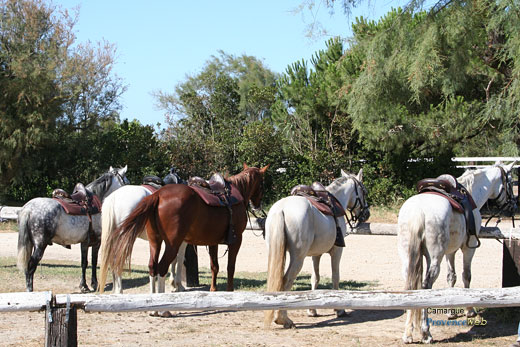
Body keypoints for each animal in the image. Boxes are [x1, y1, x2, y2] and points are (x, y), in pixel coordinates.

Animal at [99, 165, 268, 296]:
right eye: (262, 184)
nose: (257, 205)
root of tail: (157, 195)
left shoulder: (210, 241)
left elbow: (213, 266)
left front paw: (212, 290)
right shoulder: (236, 240)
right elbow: (229, 267)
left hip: (154, 241)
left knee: (151, 267)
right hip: (162, 243)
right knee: (152, 266)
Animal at [264, 170, 370, 330]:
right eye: (364, 191)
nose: (366, 214)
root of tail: (281, 209)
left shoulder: (316, 254)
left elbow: (315, 278)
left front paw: (312, 310)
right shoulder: (337, 251)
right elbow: (335, 277)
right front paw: (339, 310)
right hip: (298, 258)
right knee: (286, 280)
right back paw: (283, 319)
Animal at [398, 162, 516, 344]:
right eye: (510, 181)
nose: (514, 205)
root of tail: (418, 211)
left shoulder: (450, 251)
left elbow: (451, 277)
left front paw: (450, 311)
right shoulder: (470, 247)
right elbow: (466, 275)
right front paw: (470, 310)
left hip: (407, 257)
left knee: (411, 287)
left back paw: (408, 334)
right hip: (434, 258)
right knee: (425, 286)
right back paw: (426, 333)